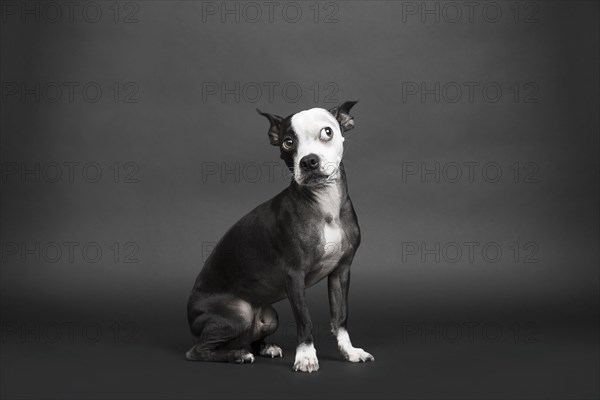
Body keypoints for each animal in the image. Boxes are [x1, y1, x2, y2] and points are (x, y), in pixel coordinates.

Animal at [186, 101, 376, 372]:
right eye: (288, 142)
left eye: (327, 132)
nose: (309, 161)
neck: (325, 203)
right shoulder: (294, 276)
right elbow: (304, 319)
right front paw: (306, 357)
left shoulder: (341, 272)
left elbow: (340, 318)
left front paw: (349, 352)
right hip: (238, 314)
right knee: (197, 350)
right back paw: (237, 355)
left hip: (269, 317)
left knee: (248, 336)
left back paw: (263, 348)